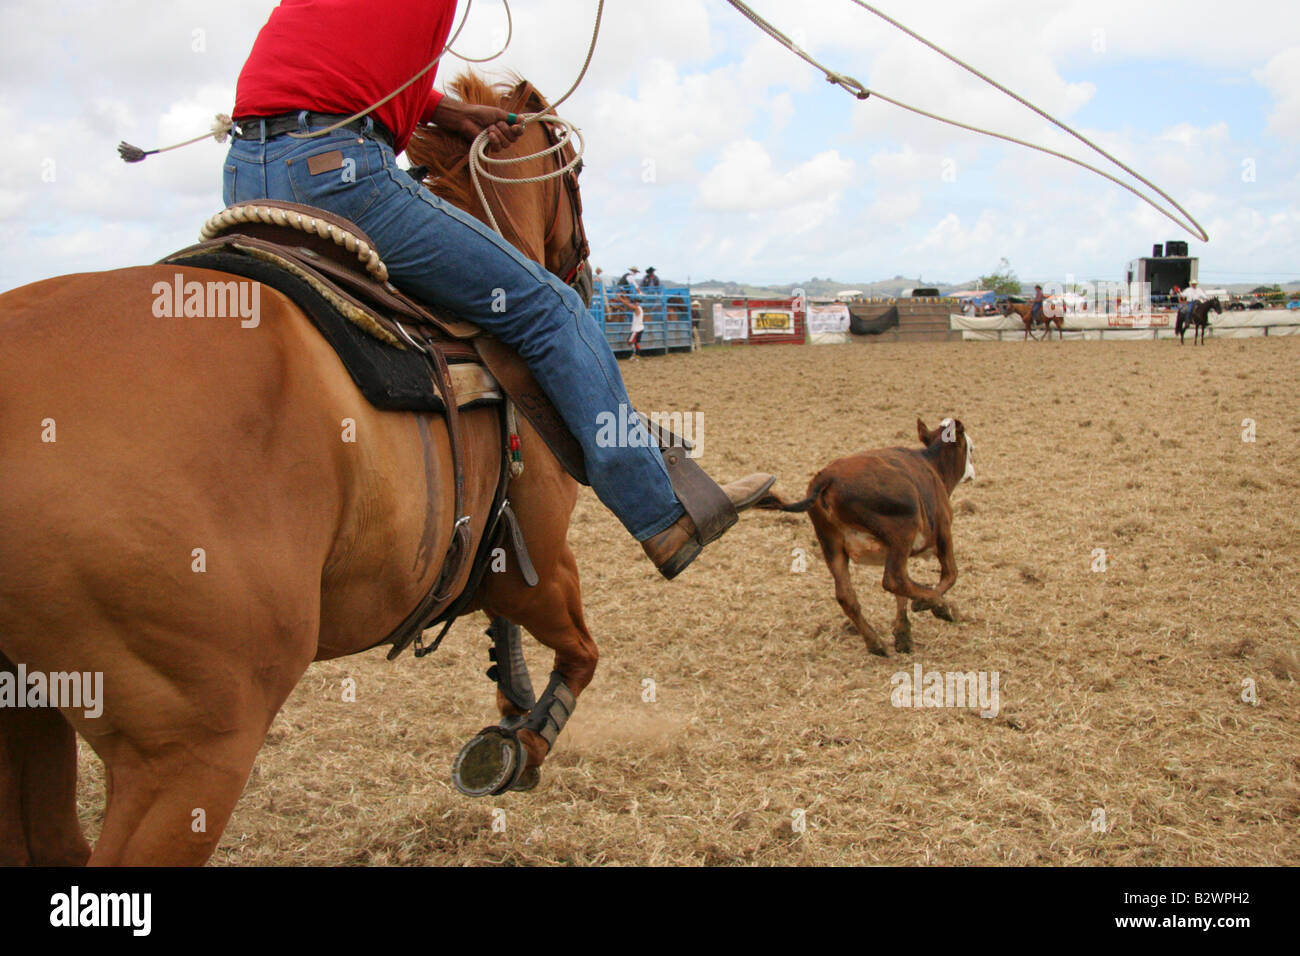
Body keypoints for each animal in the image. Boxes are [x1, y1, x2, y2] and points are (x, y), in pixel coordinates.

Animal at [0, 72, 595, 868]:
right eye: (574, 173)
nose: (586, 277)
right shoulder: (538, 563)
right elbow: (581, 652)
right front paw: (520, 746)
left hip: (28, 717)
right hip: (191, 751)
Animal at [754, 418, 977, 658]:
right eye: (971, 448)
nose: (972, 472)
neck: (932, 466)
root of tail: (827, 478)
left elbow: (902, 594)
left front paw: (903, 633)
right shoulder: (943, 533)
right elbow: (950, 574)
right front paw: (932, 604)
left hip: (831, 544)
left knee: (848, 595)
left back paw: (875, 642)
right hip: (902, 530)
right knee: (894, 579)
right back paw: (938, 604)